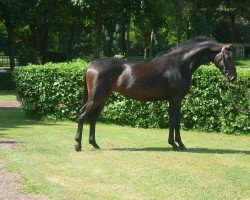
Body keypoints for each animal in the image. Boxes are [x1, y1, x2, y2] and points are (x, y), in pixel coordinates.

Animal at [73, 37, 236, 151]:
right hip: (96, 97)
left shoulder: (174, 100)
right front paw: (177, 144)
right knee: (83, 115)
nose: (234, 78)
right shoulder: (176, 98)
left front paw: (176, 143)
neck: (181, 64)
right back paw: (78, 145)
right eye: (228, 57)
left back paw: (94, 144)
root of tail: (92, 64)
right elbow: (175, 121)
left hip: (104, 97)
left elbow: (174, 120)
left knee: (93, 117)